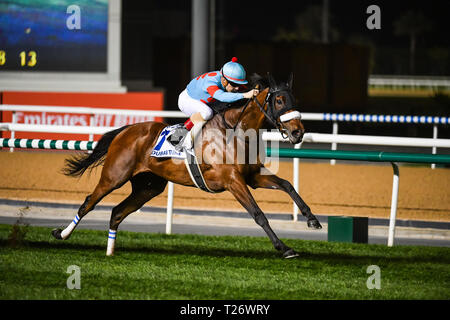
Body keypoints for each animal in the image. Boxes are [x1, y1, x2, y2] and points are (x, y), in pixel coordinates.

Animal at [52, 74, 322, 258]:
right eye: (279, 100)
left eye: (294, 99)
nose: (298, 132)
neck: (235, 132)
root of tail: (125, 131)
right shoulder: (233, 181)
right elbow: (258, 214)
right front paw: (283, 247)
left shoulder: (253, 177)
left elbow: (287, 185)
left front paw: (312, 219)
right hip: (114, 176)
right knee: (89, 202)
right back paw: (61, 234)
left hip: (149, 186)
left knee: (117, 212)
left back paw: (110, 252)